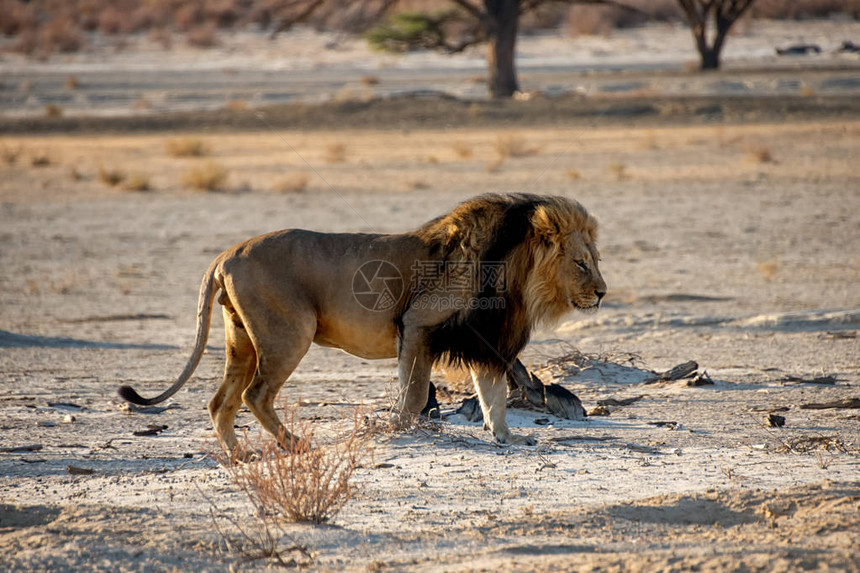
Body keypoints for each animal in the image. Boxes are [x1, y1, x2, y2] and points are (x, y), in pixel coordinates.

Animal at [119, 193, 604, 452]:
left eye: (596, 260)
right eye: (581, 264)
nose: (602, 292)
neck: (518, 278)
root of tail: (226, 253)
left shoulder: (485, 342)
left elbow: (494, 396)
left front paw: (506, 437)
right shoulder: (419, 326)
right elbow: (414, 394)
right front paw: (402, 430)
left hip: (242, 340)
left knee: (220, 402)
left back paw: (240, 458)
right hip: (288, 334)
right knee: (255, 395)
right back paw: (293, 444)